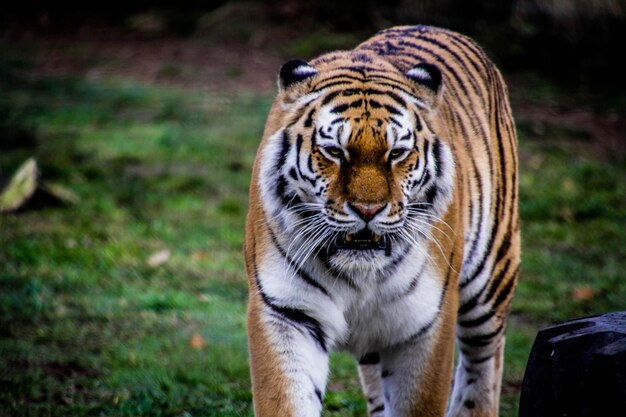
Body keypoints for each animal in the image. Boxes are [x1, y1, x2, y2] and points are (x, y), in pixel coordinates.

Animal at [243, 23, 516, 416]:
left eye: (397, 153)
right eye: (334, 152)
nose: (368, 210)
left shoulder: (425, 324)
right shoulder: (285, 312)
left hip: (490, 278)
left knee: (484, 363)